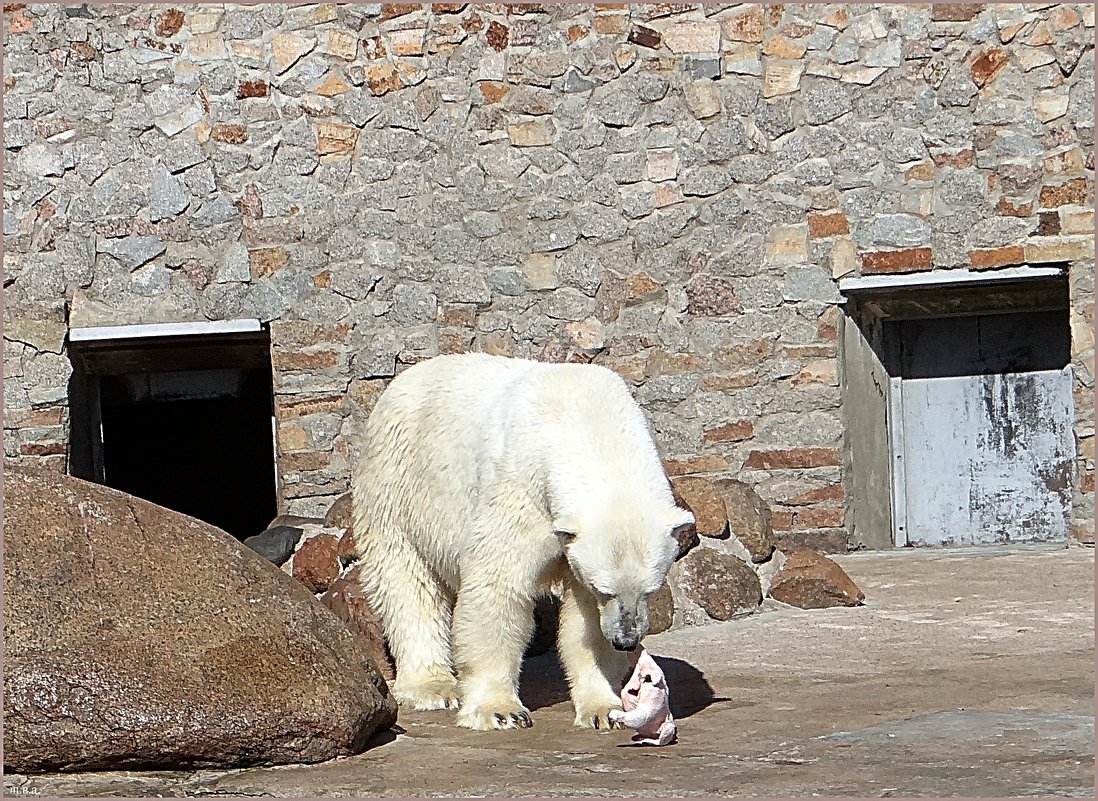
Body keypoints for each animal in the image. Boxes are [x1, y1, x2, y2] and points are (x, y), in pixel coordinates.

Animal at [351, 353, 693, 728]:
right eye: (605, 590)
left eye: (650, 591)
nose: (625, 640)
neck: (587, 417)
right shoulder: (523, 489)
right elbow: (499, 583)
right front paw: (500, 711)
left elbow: (584, 623)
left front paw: (605, 709)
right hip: (397, 484)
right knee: (407, 583)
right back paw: (434, 687)